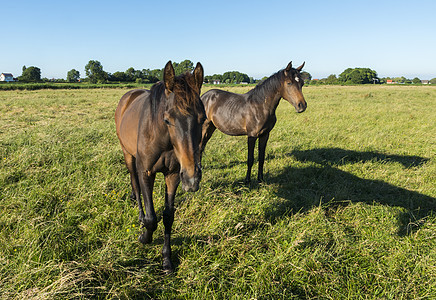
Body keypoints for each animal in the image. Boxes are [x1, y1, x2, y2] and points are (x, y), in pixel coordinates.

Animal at [115, 61, 205, 272]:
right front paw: (144, 237)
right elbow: (151, 218)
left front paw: (166, 259)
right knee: (135, 186)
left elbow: (167, 216)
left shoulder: (173, 175)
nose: (192, 179)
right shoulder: (146, 172)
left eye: (203, 118)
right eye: (167, 120)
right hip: (128, 156)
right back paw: (140, 218)